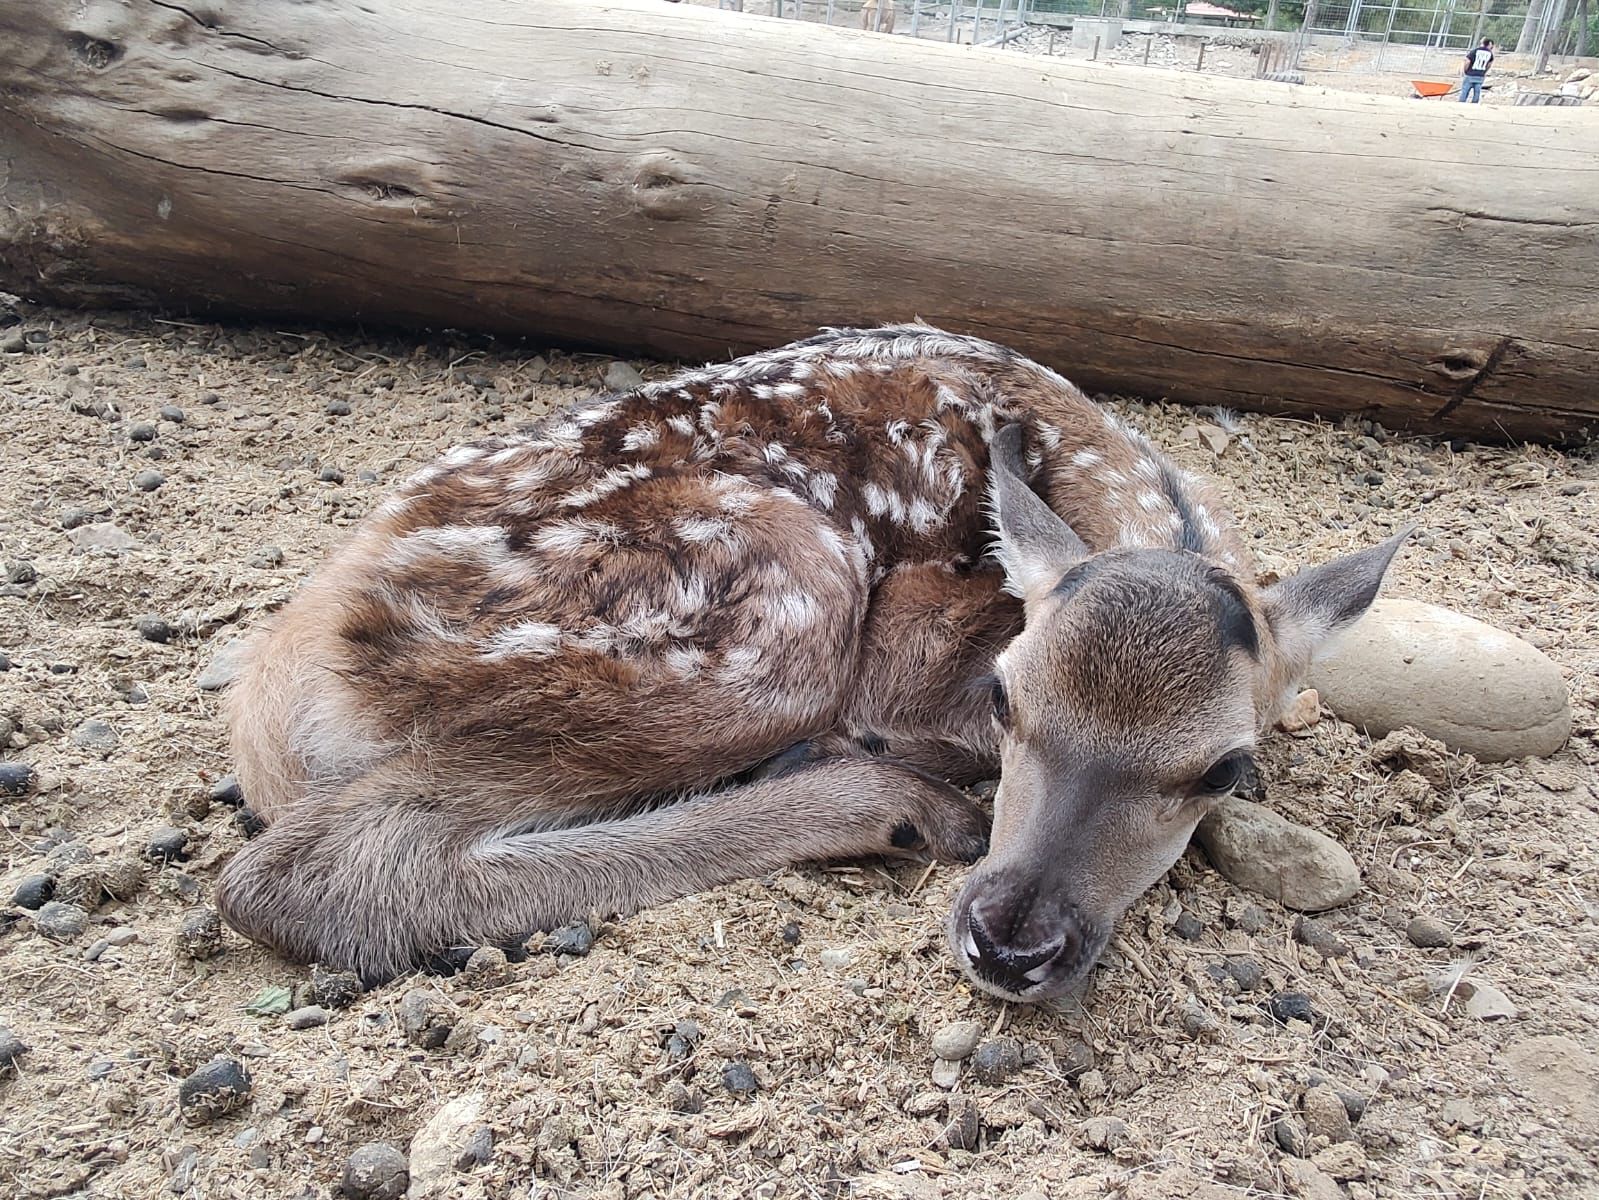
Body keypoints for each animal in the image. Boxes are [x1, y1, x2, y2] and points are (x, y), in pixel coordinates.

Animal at [212, 324, 1400, 998]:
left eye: (1227, 770)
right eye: (1008, 697)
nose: (1011, 943)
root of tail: (282, 687)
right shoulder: (908, 647)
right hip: (775, 601)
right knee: (306, 870)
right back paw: (895, 805)